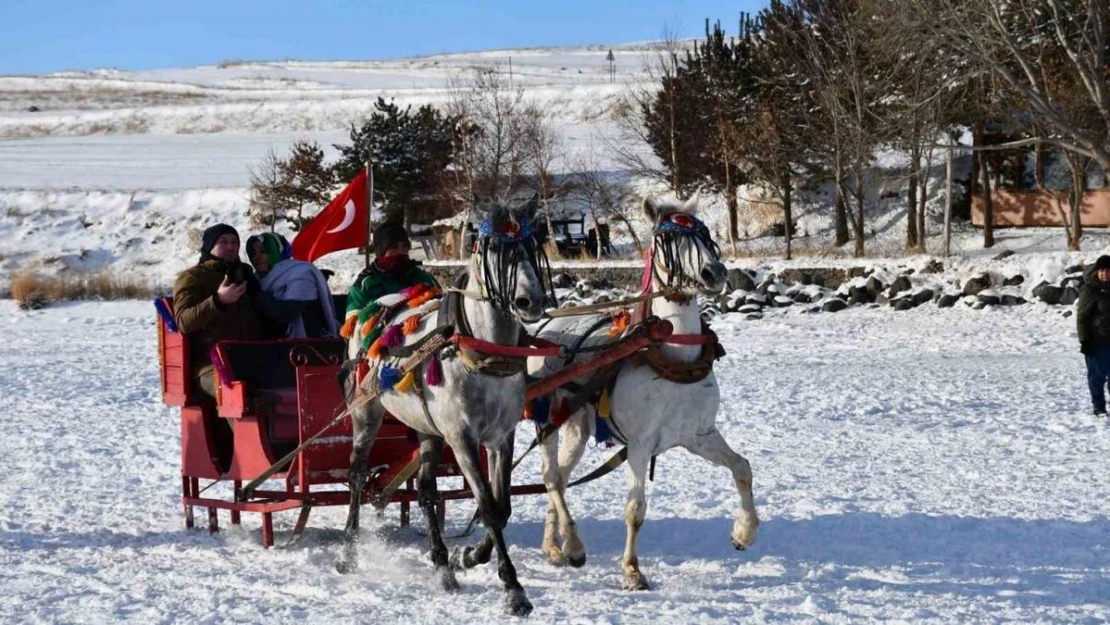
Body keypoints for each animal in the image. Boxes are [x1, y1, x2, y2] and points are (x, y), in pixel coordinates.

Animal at [526, 195, 754, 590]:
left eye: (704, 234)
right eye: (667, 240)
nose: (714, 273)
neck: (673, 357)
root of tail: (547, 327)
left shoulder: (699, 435)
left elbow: (742, 467)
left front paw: (744, 533)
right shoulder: (640, 444)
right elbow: (635, 509)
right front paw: (632, 570)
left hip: (578, 427)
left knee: (561, 478)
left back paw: (554, 547)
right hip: (548, 419)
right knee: (551, 477)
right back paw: (572, 546)